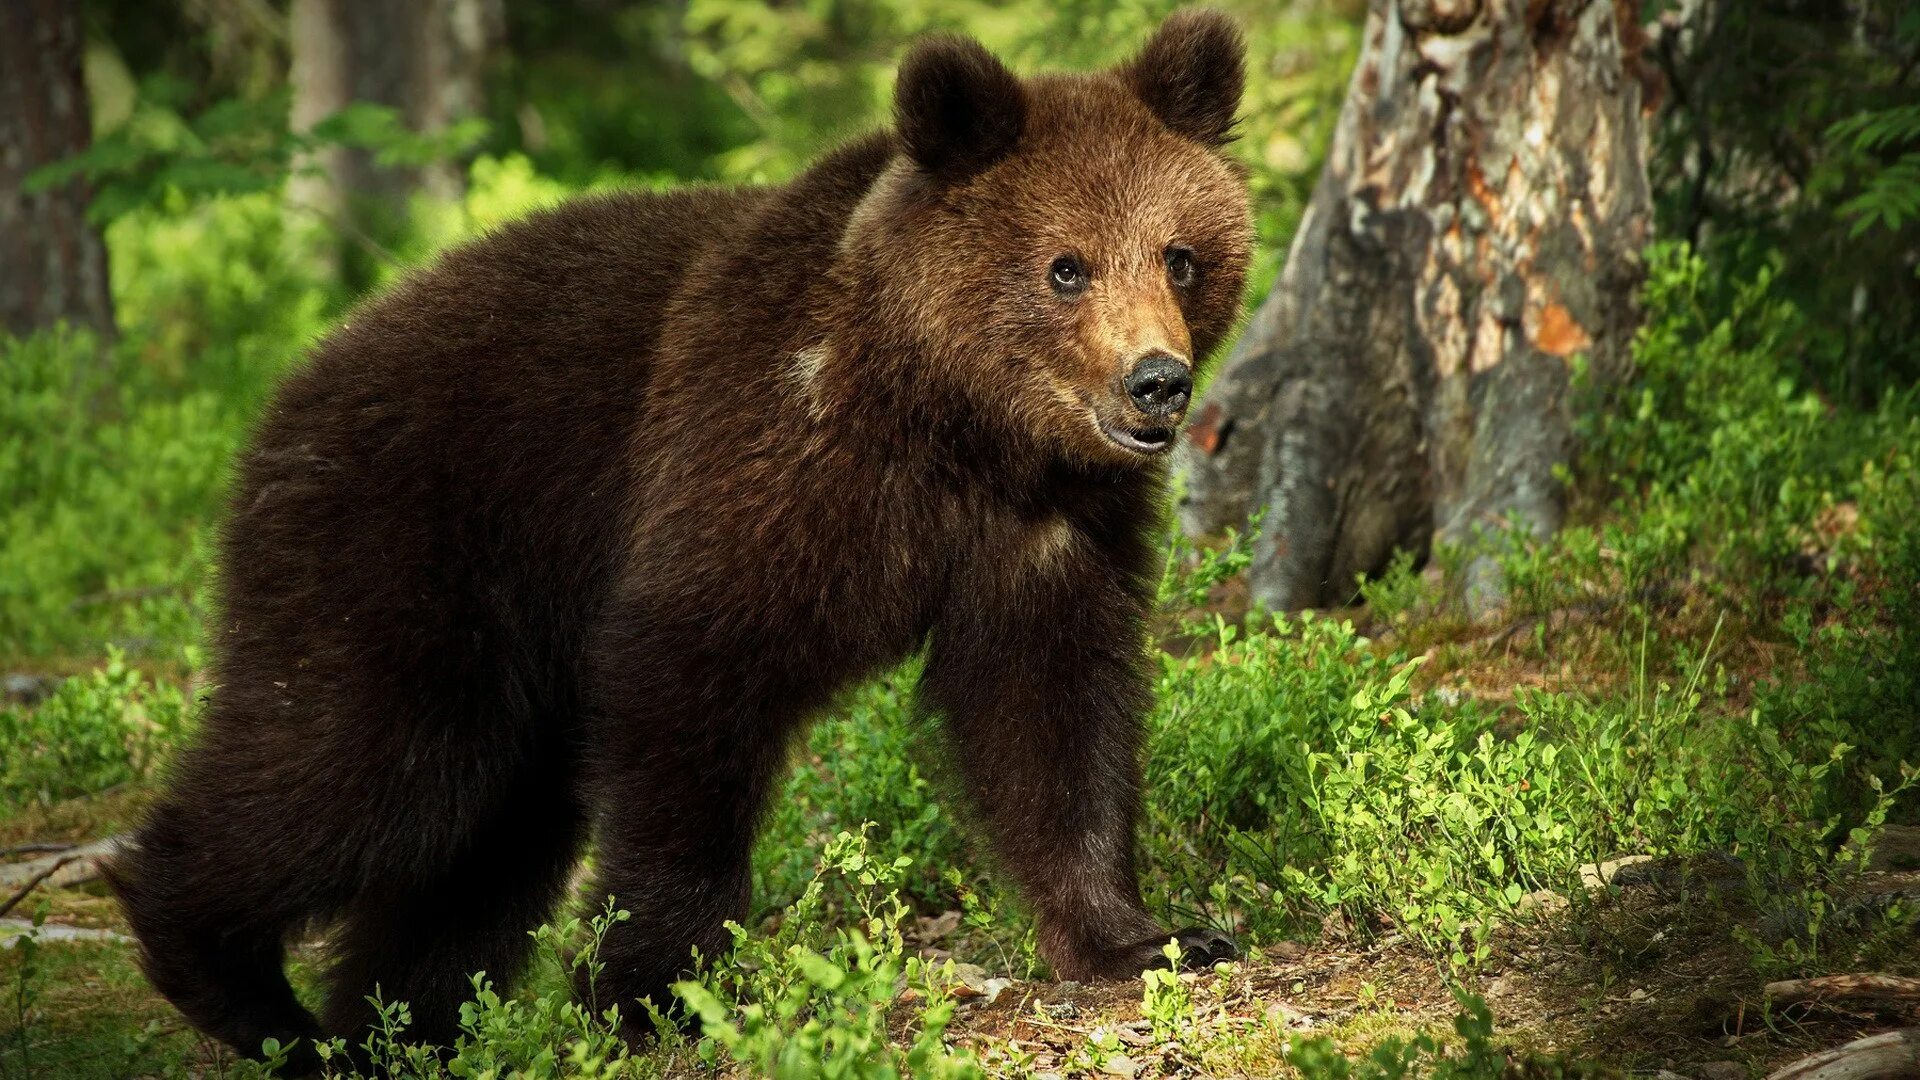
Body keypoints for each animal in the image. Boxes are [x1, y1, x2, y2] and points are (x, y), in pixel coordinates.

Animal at [116, 8, 1259, 1060]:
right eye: (1067, 267)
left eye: (1180, 257)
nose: (1157, 382)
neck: (951, 424)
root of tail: (290, 387)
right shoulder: (751, 465)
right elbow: (689, 690)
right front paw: (653, 990)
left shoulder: (1048, 531)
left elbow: (1053, 714)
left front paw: (1144, 935)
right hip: (408, 546)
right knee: (363, 764)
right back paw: (237, 981)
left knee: (484, 841)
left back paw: (395, 1029)